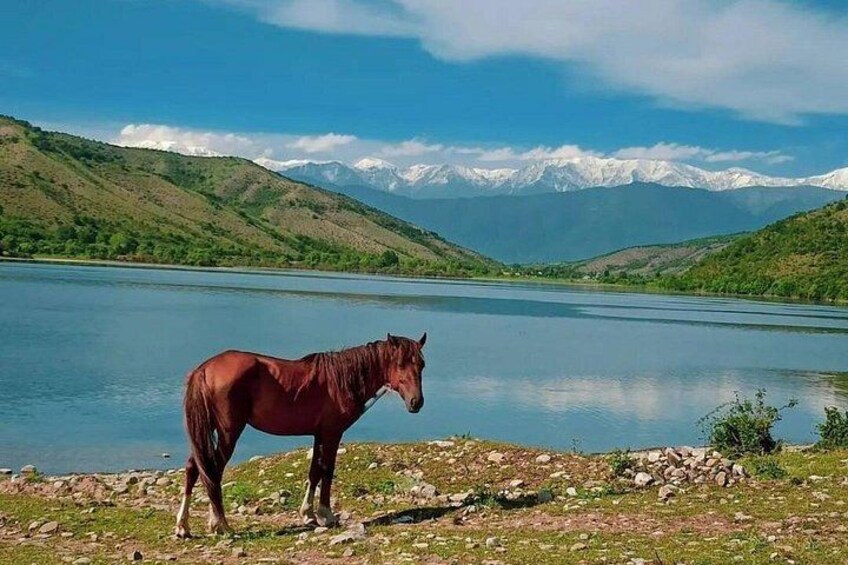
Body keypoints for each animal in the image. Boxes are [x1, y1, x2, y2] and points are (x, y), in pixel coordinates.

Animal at [174, 333, 426, 538]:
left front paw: (308, 514)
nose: (416, 402)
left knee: (195, 468)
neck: (341, 380)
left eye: (422, 364)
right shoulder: (332, 433)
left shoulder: (319, 434)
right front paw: (327, 515)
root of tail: (205, 368)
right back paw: (220, 524)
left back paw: (184, 527)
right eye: (400, 363)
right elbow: (327, 471)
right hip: (229, 432)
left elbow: (314, 472)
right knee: (212, 471)